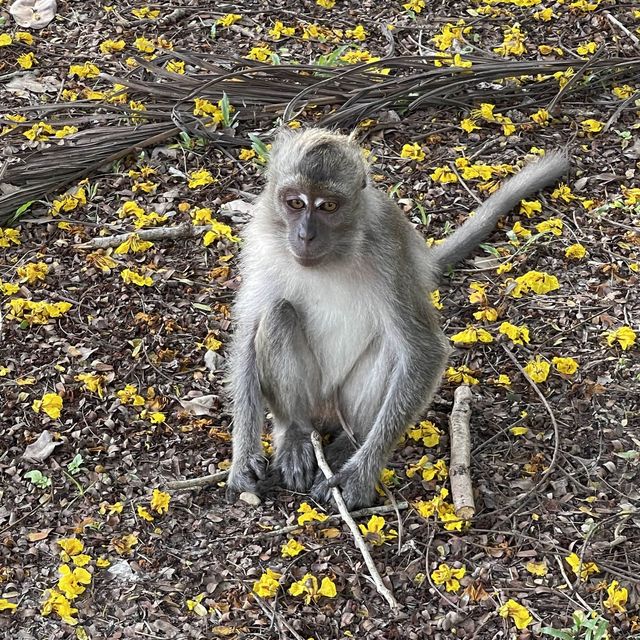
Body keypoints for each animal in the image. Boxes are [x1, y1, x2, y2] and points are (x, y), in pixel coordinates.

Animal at [226, 129, 568, 510]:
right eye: (295, 203)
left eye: (328, 206)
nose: (305, 235)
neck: (333, 255)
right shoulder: (261, 241)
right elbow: (247, 331)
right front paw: (244, 459)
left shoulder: (389, 249)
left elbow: (424, 351)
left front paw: (360, 475)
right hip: (315, 401)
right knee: (278, 314)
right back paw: (296, 435)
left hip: (342, 405)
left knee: (391, 344)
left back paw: (349, 443)